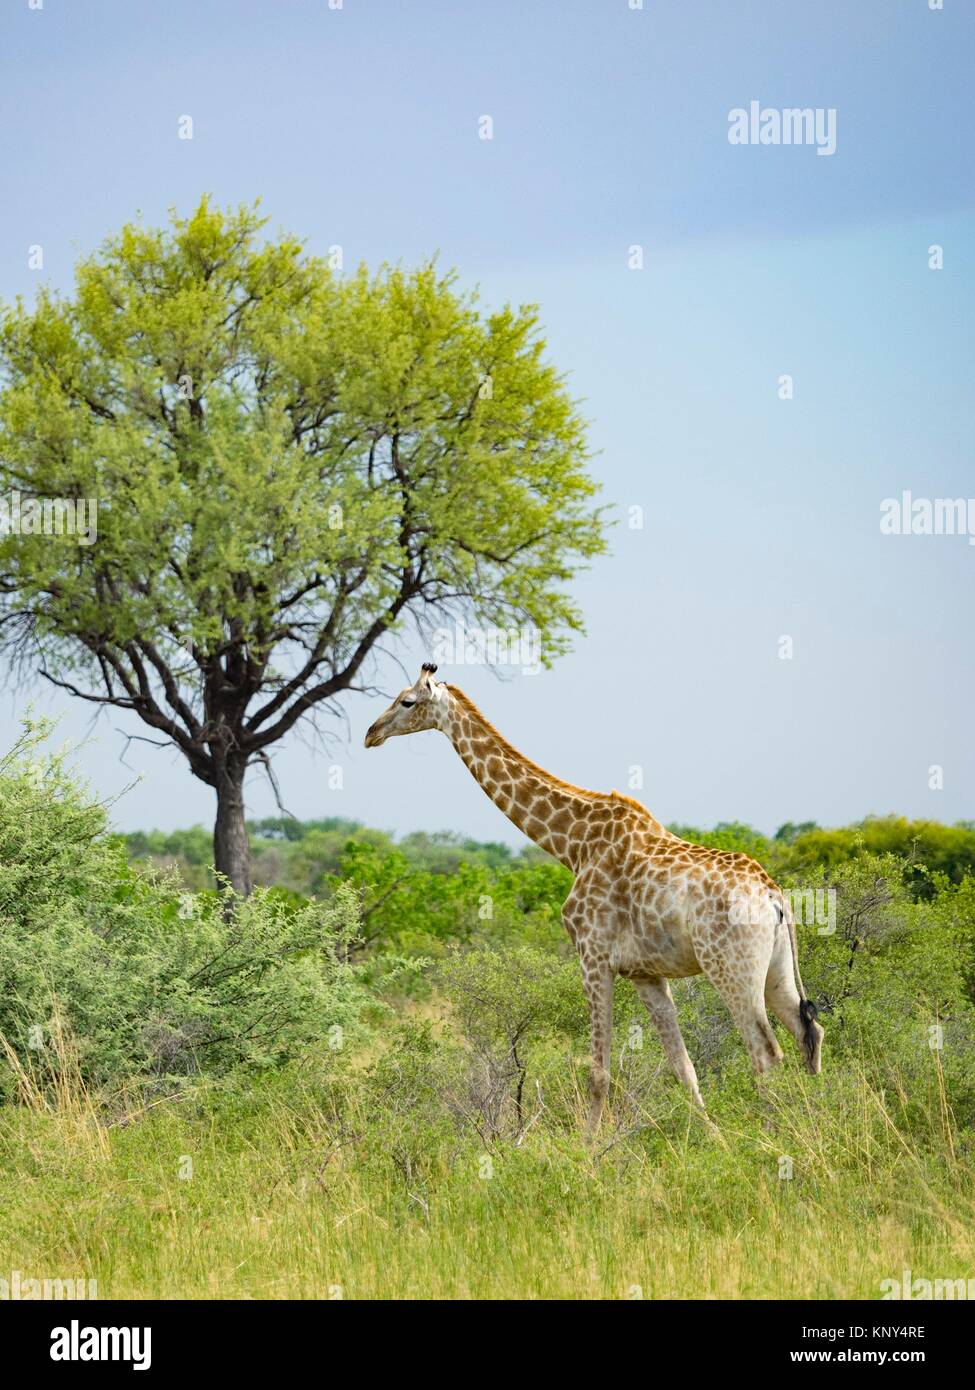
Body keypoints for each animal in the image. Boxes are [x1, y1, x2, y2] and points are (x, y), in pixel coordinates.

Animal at [364, 661, 823, 1128]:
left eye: (406, 701)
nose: (371, 733)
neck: (574, 844)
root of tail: (775, 897)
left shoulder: (593, 956)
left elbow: (598, 1072)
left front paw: (590, 1146)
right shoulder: (645, 972)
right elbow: (683, 1067)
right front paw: (710, 1135)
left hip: (729, 968)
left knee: (766, 1052)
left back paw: (771, 1132)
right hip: (776, 970)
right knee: (809, 1033)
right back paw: (812, 1124)